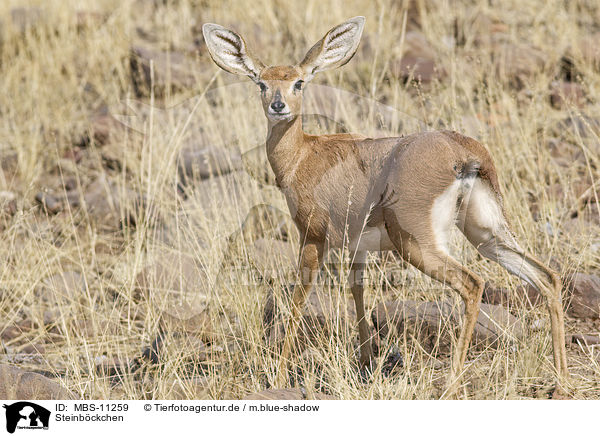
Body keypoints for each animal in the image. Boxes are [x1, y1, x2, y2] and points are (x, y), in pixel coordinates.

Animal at [200, 17, 568, 396]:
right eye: (262, 82)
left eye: (298, 82)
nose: (278, 106)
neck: (304, 156)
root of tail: (463, 153)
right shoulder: (357, 246)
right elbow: (357, 291)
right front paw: (365, 364)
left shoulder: (312, 236)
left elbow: (299, 296)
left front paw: (278, 375)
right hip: (486, 234)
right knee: (547, 277)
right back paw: (561, 381)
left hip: (418, 244)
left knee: (472, 284)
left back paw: (452, 384)